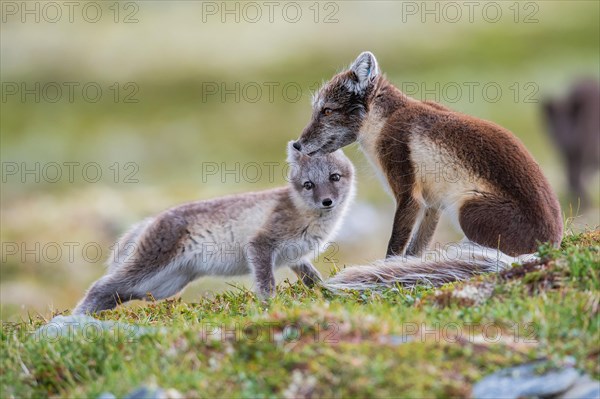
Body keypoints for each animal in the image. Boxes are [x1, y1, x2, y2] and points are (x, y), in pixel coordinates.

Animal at [75, 144, 356, 316]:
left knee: (116, 294)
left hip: (162, 287)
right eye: (308, 184)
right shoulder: (261, 244)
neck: (304, 212)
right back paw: (78, 319)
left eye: (334, 177)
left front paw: (327, 291)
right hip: (149, 268)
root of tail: (152, 219)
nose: (327, 201)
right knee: (100, 286)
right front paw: (270, 306)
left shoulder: (295, 256)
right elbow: (266, 282)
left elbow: (312, 278)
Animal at [292, 52, 564, 290]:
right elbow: (415, 251)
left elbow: (394, 247)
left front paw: (385, 269)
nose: (297, 145)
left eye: (327, 110)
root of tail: (547, 248)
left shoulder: (408, 196)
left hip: (468, 210)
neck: (384, 121)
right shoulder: (432, 205)